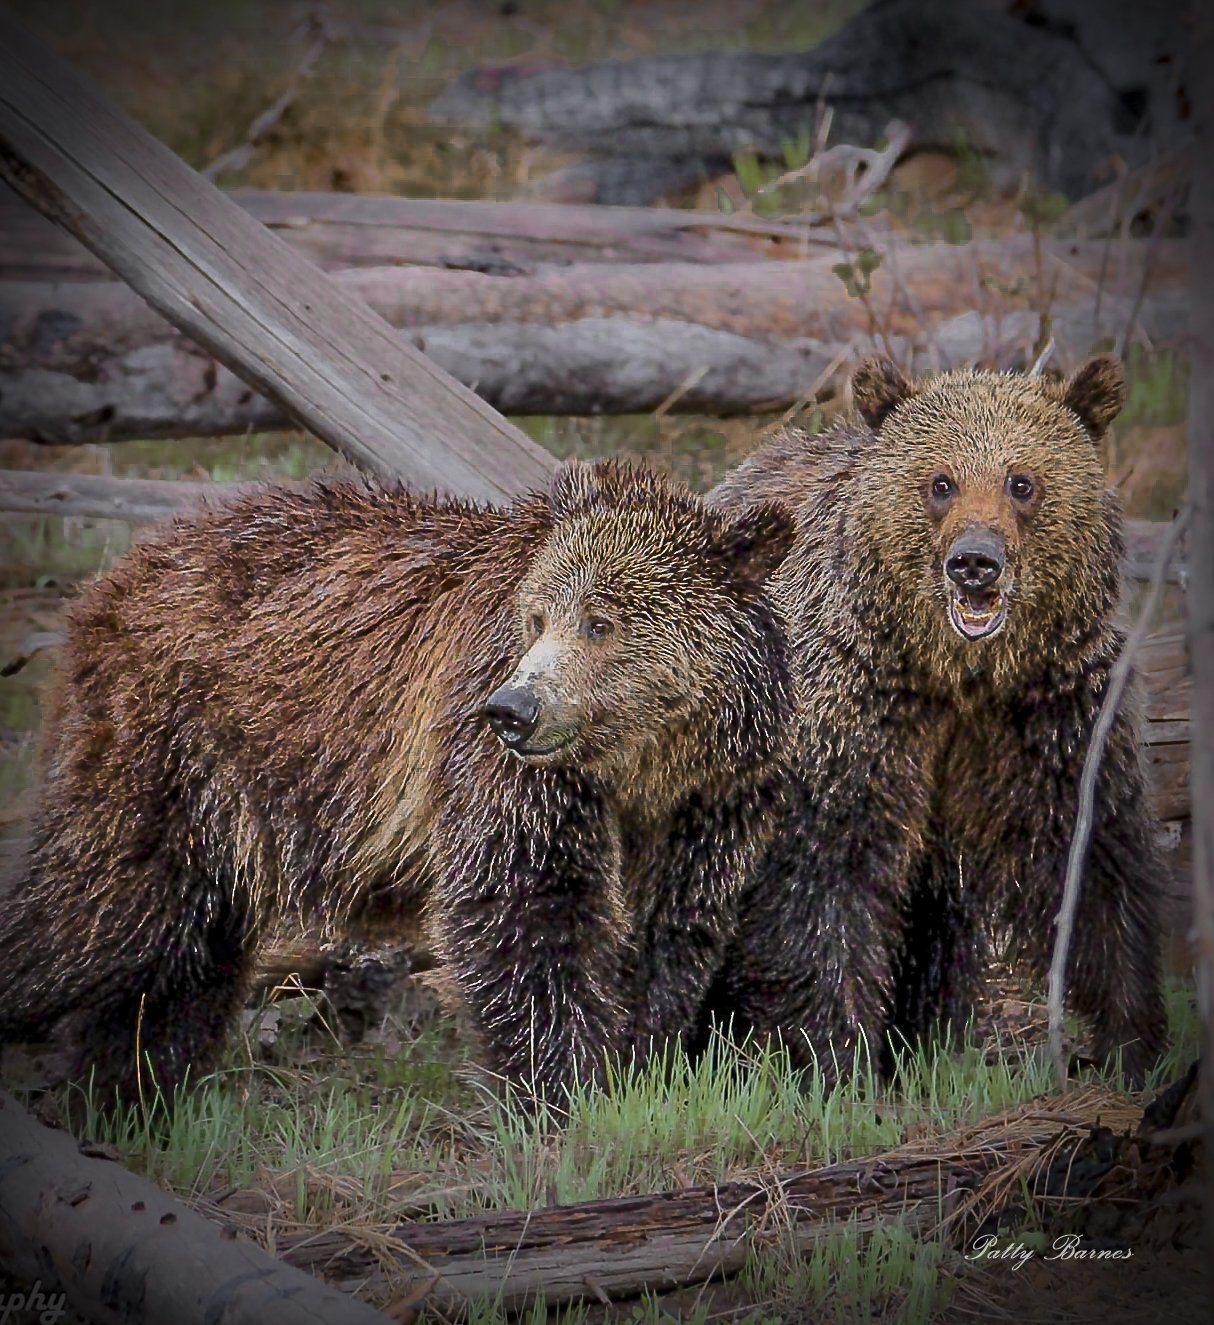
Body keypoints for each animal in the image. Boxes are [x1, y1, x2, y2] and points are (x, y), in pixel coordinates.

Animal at [0, 459, 796, 1106]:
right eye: (537, 614)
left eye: (601, 622)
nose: (514, 710)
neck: (637, 763)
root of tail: (117, 572)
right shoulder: (509, 769)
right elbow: (524, 907)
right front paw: (564, 1086)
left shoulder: (709, 800)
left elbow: (670, 928)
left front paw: (641, 1063)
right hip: (165, 740)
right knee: (100, 911)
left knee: (186, 951)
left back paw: (133, 1084)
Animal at [706, 355, 1168, 1085]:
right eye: (940, 482)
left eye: (1021, 481)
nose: (975, 562)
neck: (959, 675)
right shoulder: (852, 710)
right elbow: (826, 884)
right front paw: (837, 1054)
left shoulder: (1052, 717)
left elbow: (1095, 861)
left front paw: (1133, 1043)